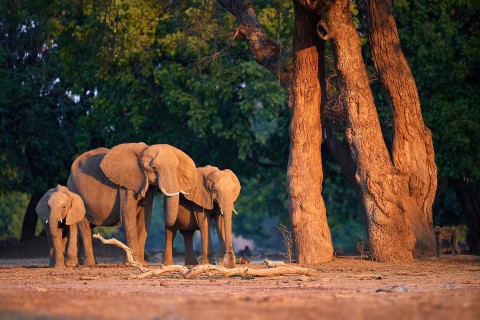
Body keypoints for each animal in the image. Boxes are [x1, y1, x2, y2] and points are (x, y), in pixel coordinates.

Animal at [66, 142, 196, 264]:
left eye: (177, 168)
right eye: (154, 168)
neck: (144, 150)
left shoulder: (146, 186)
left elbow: (145, 215)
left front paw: (141, 263)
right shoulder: (125, 185)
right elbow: (127, 212)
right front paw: (132, 263)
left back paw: (80, 264)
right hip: (75, 191)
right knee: (84, 226)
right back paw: (90, 264)